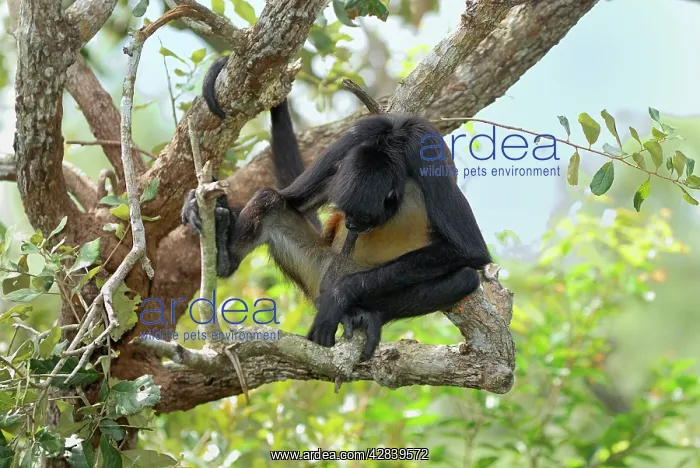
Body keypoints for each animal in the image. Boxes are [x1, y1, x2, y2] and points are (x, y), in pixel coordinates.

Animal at [182, 58, 492, 361]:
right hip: (319, 266)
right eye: (348, 213)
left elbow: (470, 251)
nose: (352, 226)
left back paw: (362, 313)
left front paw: (339, 297)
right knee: (268, 200)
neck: (394, 139)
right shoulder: (358, 134)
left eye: (364, 218)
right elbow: (289, 200)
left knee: (464, 278)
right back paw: (225, 257)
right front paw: (196, 205)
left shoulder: (426, 153)